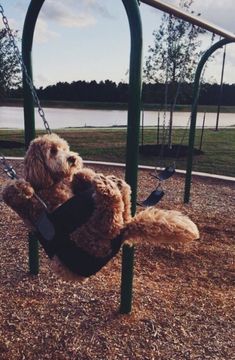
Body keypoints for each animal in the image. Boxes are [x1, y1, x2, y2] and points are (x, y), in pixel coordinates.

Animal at [2, 134, 199, 280]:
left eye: (65, 148)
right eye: (52, 151)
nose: (72, 158)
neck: (53, 182)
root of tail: (124, 232)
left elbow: (80, 176)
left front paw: (84, 173)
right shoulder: (44, 206)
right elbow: (14, 193)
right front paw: (21, 187)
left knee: (121, 213)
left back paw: (114, 184)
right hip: (87, 238)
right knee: (109, 224)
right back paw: (108, 189)